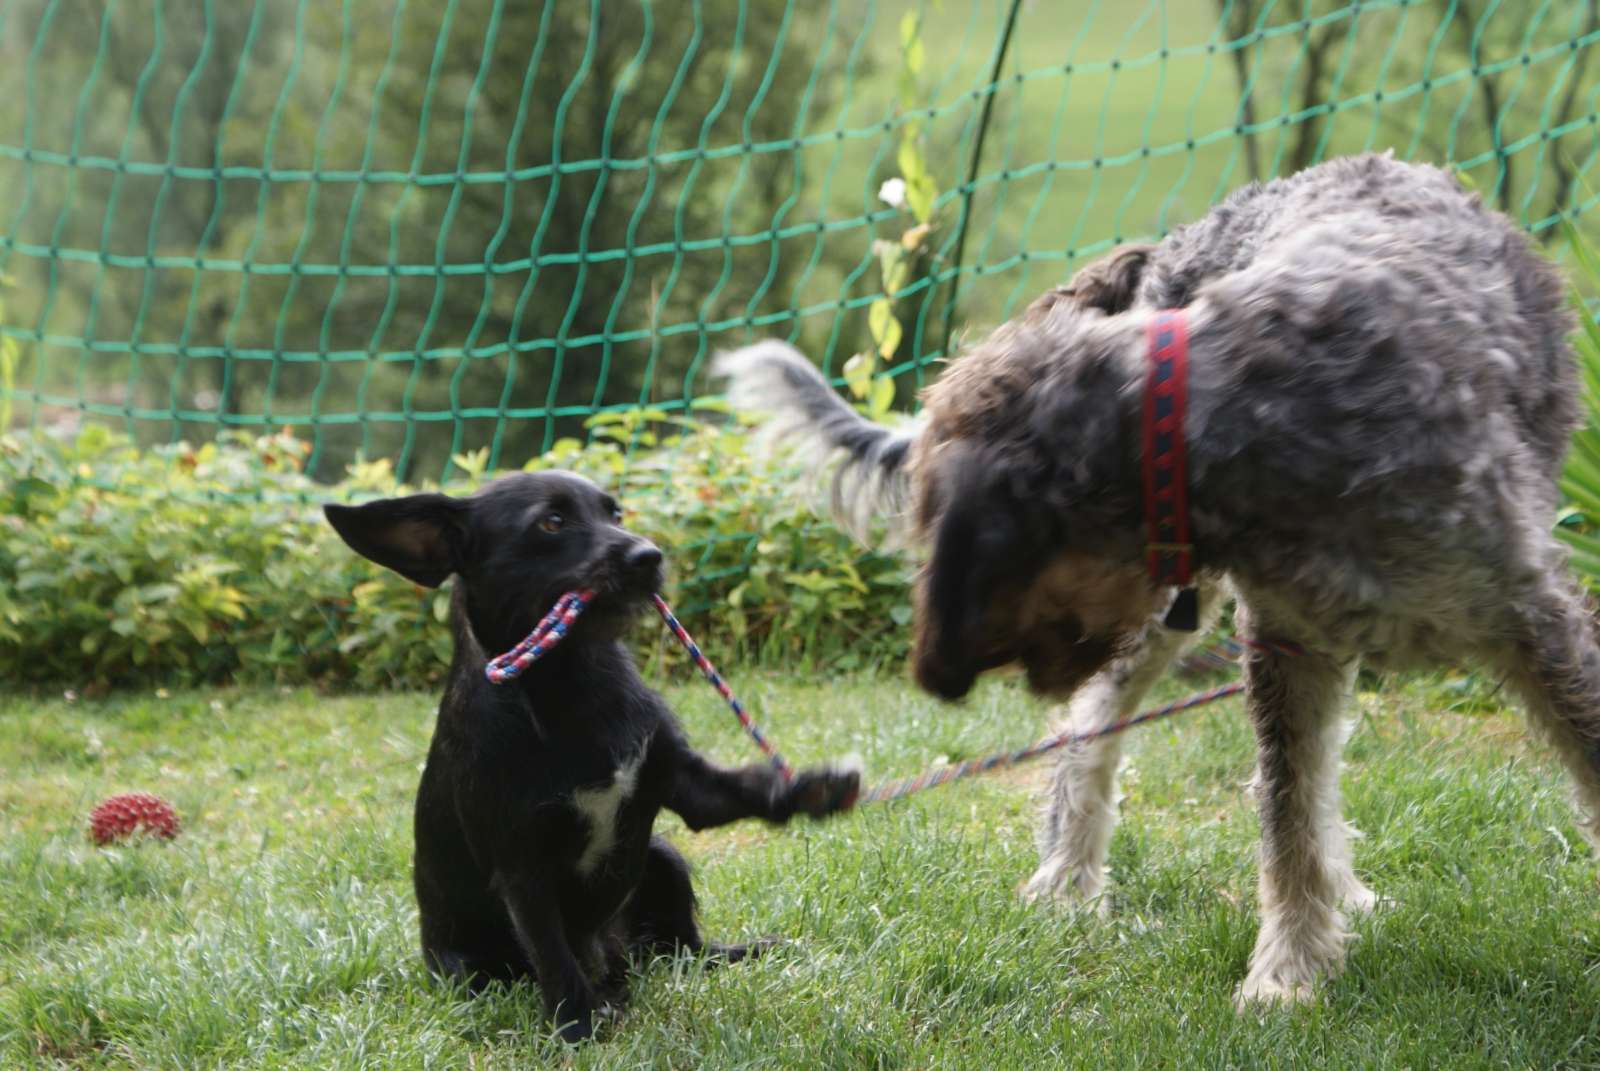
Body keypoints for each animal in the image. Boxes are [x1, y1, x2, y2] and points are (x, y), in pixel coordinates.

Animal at [323, 470, 864, 1037]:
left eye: (616, 514)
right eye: (552, 522)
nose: (650, 556)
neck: (572, 682)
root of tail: (619, 957)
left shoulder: (684, 784)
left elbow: (747, 788)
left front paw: (815, 790)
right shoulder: (523, 873)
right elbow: (553, 956)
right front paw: (575, 1026)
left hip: (663, 859)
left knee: (683, 950)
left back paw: (740, 952)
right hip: (466, 972)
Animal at [720, 152, 1593, 1005]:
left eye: (947, 524)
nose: (939, 676)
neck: (1243, 405)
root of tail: (1166, 254)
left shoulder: (1534, 622)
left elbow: (1305, 802)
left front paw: (1292, 959)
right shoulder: (1284, 644)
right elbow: (1288, 812)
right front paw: (1288, 971)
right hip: (1170, 615)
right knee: (1091, 726)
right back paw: (1069, 875)